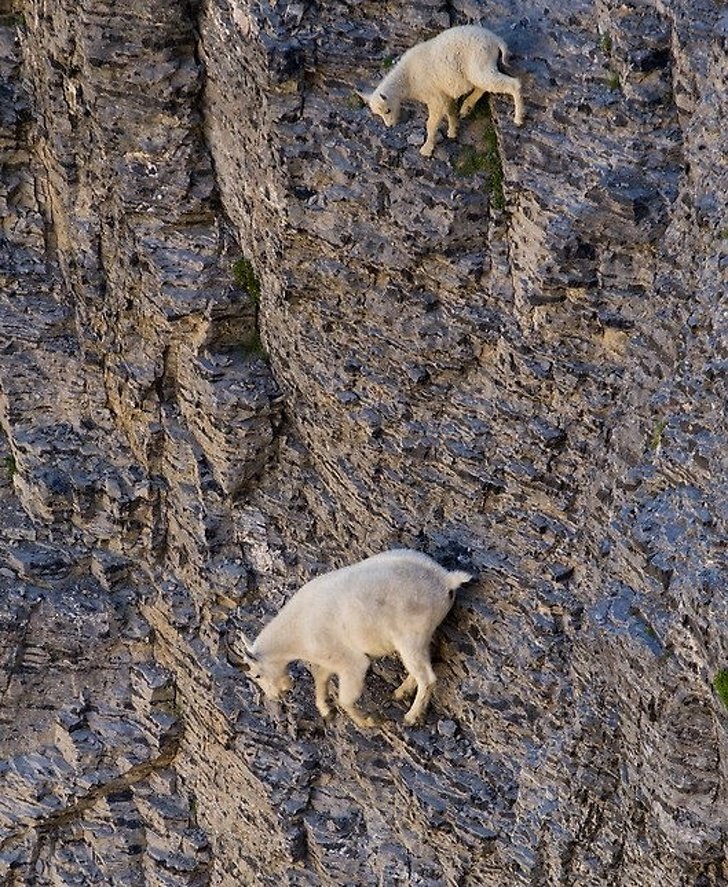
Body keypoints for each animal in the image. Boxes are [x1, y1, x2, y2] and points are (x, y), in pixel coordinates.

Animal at [230, 548, 474, 728]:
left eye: (257, 675)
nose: (277, 695)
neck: (297, 632)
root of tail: (445, 579)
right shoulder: (327, 660)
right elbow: (320, 678)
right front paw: (325, 711)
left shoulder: (349, 662)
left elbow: (345, 697)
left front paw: (368, 721)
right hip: (422, 636)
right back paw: (399, 692)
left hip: (410, 636)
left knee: (427, 677)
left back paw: (411, 717)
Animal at [358, 25, 524, 157]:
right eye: (378, 114)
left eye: (387, 110)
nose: (391, 126)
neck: (408, 79)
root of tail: (496, 41)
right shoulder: (444, 94)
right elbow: (449, 110)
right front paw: (452, 131)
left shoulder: (434, 96)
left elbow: (431, 123)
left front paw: (426, 149)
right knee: (483, 86)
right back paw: (466, 108)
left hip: (479, 62)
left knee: (511, 84)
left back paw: (518, 118)